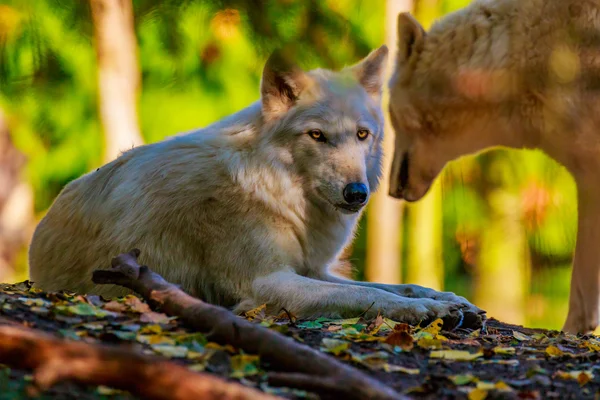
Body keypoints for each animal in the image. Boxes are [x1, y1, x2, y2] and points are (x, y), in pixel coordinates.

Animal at [29, 47, 482, 326]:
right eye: (317, 136)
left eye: (362, 135)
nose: (357, 194)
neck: (275, 188)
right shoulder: (267, 283)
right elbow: (368, 298)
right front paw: (426, 309)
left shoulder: (313, 269)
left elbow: (387, 286)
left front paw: (447, 300)